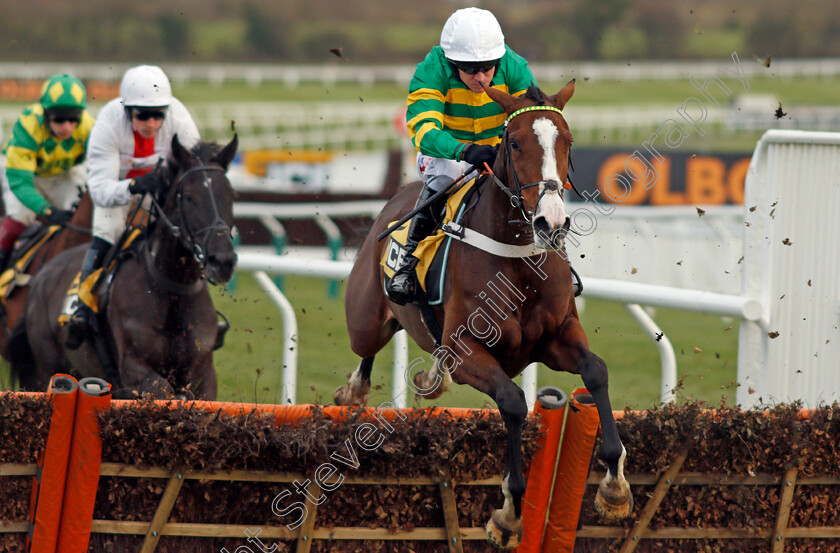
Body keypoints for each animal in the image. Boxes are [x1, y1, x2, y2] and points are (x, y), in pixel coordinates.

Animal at [338, 83, 632, 548]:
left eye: (567, 141)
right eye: (514, 143)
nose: (551, 222)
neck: (517, 258)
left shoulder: (557, 337)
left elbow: (596, 372)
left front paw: (615, 485)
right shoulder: (466, 351)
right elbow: (512, 402)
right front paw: (508, 514)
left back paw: (427, 379)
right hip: (367, 319)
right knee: (366, 347)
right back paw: (354, 390)